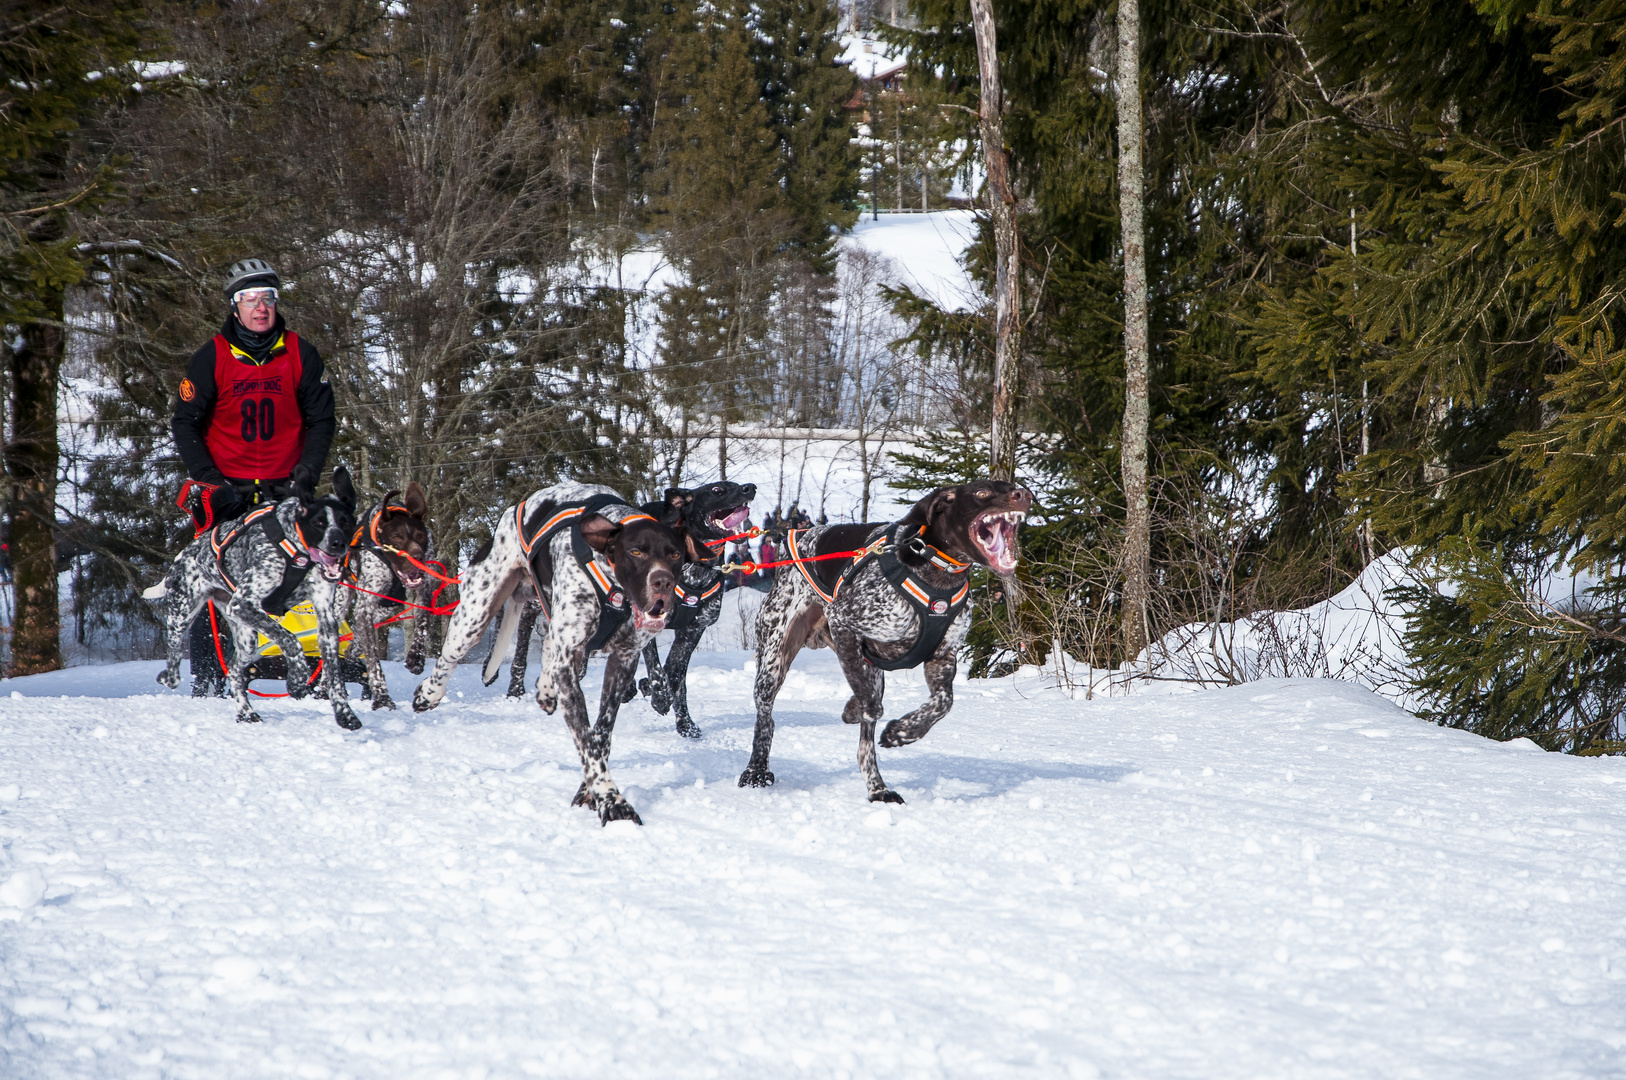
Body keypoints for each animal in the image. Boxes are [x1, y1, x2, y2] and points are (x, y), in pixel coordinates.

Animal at [149, 465, 362, 728]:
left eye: (345, 522)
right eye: (319, 522)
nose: (338, 544)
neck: (297, 551)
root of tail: (183, 554)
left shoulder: (326, 622)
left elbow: (333, 676)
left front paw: (345, 714)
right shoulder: (243, 604)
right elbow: (290, 640)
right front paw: (297, 678)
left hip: (247, 639)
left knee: (233, 670)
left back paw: (245, 711)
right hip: (182, 618)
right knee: (174, 665)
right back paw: (168, 676)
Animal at [413, 481, 686, 826]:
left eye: (675, 554)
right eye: (636, 552)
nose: (663, 581)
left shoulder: (622, 661)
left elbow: (600, 736)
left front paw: (590, 791)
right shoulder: (570, 663)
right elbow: (587, 740)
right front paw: (611, 799)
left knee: (548, 652)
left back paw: (545, 689)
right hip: (475, 616)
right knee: (449, 658)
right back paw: (429, 694)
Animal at [637, 481, 757, 741]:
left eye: (737, 485)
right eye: (717, 490)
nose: (749, 487)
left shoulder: (693, 630)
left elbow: (673, 673)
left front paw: (659, 695)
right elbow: (656, 667)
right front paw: (657, 695)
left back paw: (685, 724)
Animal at [741, 481, 1027, 800]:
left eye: (1015, 486)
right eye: (981, 494)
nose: (1025, 495)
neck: (937, 574)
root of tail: (800, 539)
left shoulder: (942, 656)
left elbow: (943, 702)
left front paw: (903, 732)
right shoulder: (843, 622)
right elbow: (872, 704)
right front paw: (861, 709)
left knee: (864, 744)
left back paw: (877, 787)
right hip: (774, 660)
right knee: (765, 718)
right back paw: (756, 770)